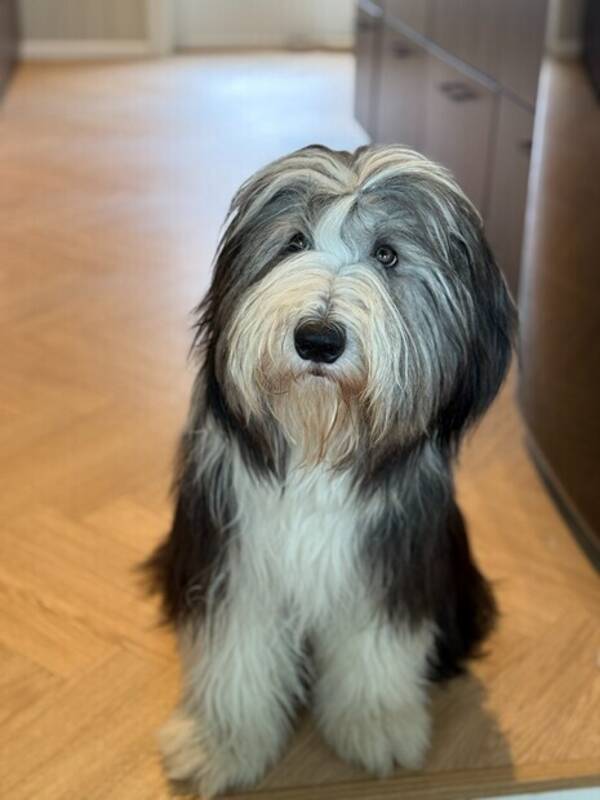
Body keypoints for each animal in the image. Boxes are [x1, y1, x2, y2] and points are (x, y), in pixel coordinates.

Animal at [146, 145, 516, 800]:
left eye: (388, 254)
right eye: (293, 242)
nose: (318, 338)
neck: (319, 445)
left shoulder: (391, 560)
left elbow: (375, 649)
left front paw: (377, 726)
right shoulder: (235, 556)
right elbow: (234, 654)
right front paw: (222, 743)